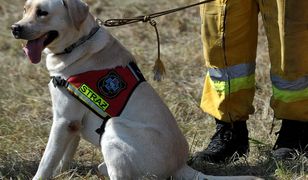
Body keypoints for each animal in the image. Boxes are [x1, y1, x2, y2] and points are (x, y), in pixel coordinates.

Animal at [12, 0, 262, 180]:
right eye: (25, 9)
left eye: (42, 12)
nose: (15, 28)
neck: (79, 44)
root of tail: (180, 166)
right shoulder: (72, 124)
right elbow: (62, 158)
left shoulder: (63, 121)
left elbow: (47, 160)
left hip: (112, 129)